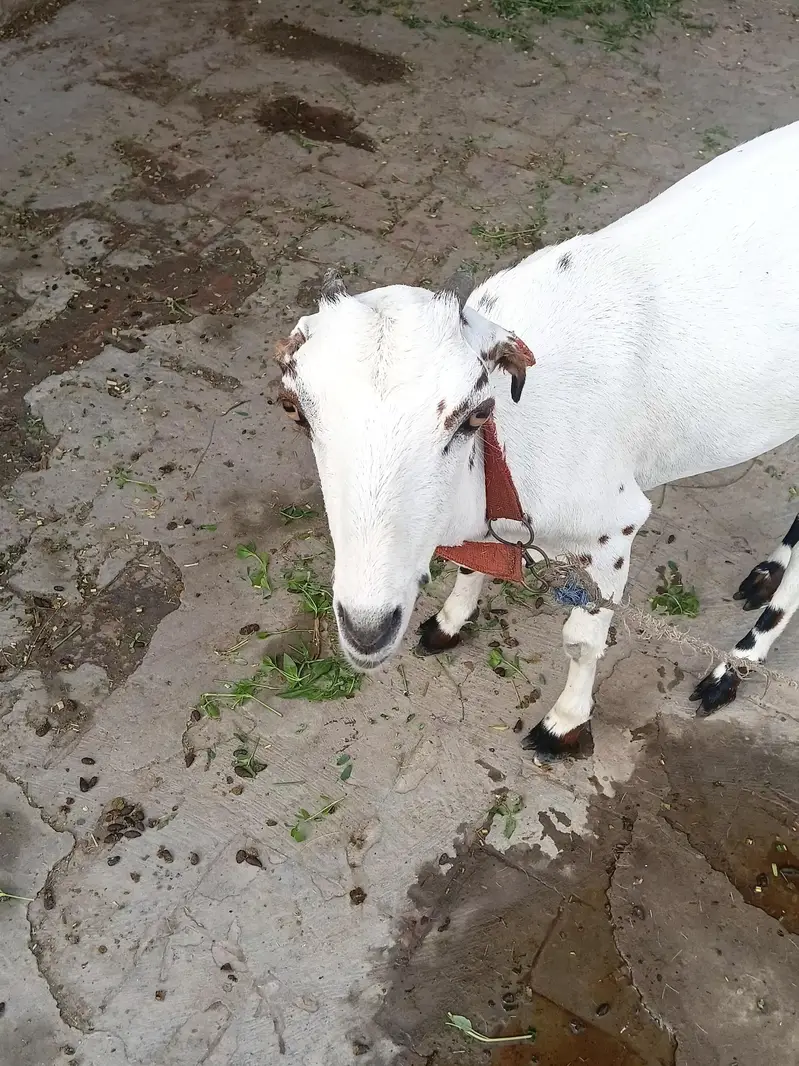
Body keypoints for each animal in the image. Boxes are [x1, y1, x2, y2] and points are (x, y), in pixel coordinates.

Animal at [275, 120, 799, 759]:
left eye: (473, 415)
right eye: (294, 408)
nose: (367, 629)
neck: (511, 454)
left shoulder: (615, 524)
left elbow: (581, 639)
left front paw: (564, 722)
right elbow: (474, 562)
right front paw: (449, 621)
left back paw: (734, 665)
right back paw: (767, 570)